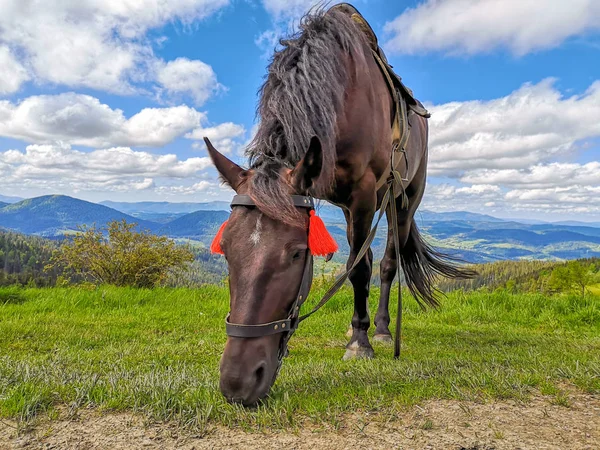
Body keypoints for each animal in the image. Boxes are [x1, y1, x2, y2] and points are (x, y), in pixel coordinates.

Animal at [205, 4, 474, 404]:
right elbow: (355, 263)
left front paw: (360, 342)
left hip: (404, 200)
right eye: (224, 248)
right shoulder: (345, 201)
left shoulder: (363, 194)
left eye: (298, 253)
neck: (341, 95)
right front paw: (356, 332)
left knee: (388, 262)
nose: (238, 382)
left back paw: (381, 329)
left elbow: (360, 268)